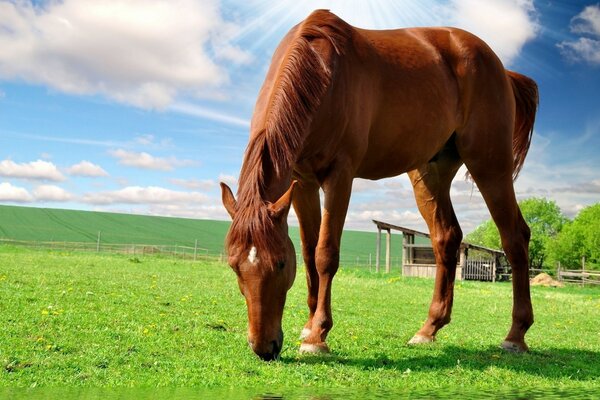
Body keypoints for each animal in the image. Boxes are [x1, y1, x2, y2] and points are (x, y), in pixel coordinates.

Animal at [220, 9, 540, 360]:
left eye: (279, 263)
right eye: (234, 266)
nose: (264, 347)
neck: (323, 73)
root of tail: (502, 69)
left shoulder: (340, 176)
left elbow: (325, 254)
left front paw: (317, 335)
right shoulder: (302, 182)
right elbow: (307, 253)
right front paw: (308, 325)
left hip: (490, 165)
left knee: (515, 237)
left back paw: (516, 334)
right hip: (431, 172)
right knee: (447, 238)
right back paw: (429, 329)